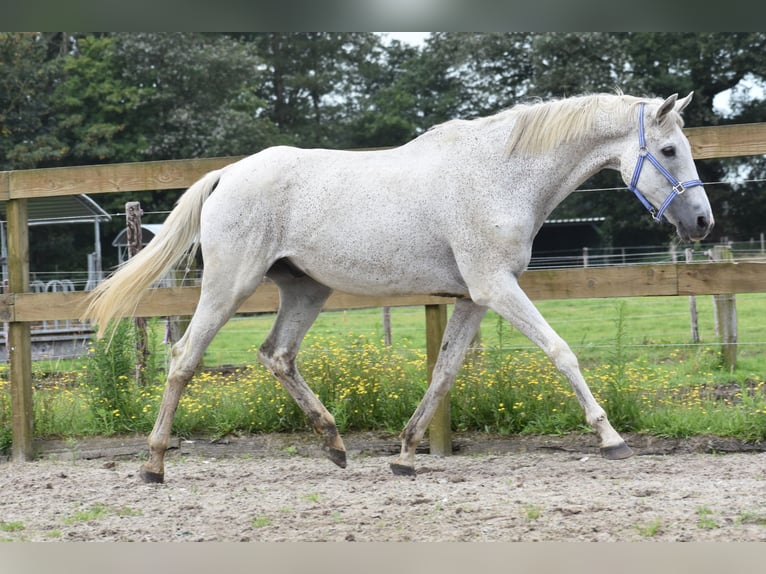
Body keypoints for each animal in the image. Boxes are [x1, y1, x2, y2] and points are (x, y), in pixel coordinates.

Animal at [84, 92, 712, 484]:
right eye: (669, 150)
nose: (702, 222)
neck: (500, 177)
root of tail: (226, 174)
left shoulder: (472, 300)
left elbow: (445, 373)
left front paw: (407, 455)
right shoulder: (496, 288)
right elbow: (561, 352)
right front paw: (611, 439)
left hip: (306, 290)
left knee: (277, 355)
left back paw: (335, 445)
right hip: (228, 286)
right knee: (184, 358)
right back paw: (154, 466)